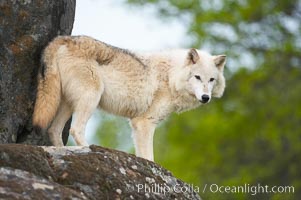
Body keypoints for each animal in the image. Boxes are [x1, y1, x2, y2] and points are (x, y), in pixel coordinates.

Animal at [32, 35, 225, 161]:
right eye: (197, 77)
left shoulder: (138, 124)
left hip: (69, 104)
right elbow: (149, 157)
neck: (171, 77)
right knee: (75, 130)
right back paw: (90, 150)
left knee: (54, 129)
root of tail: (62, 39)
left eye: (211, 80)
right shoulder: (144, 122)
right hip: (90, 98)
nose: (205, 97)